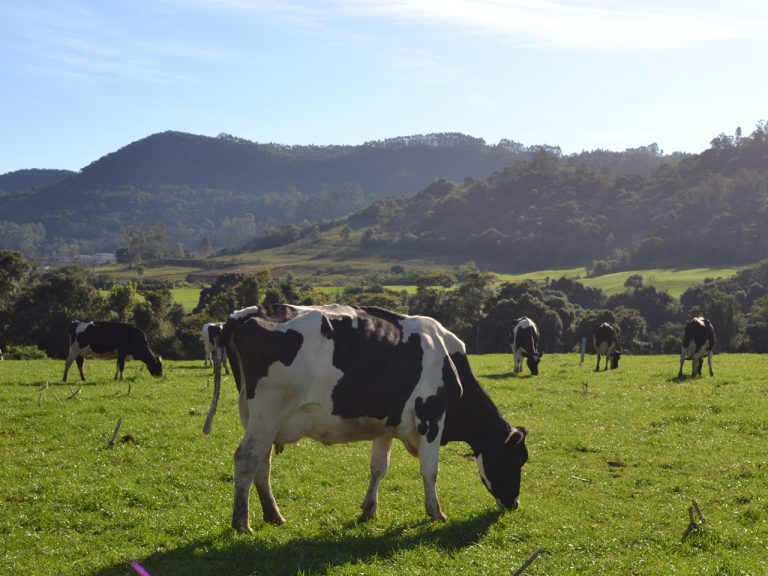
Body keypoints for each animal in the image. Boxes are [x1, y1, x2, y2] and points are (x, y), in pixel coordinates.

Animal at [204, 304, 528, 532]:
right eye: (517, 459)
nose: (515, 503)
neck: (451, 365)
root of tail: (247, 313)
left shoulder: (386, 426)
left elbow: (378, 468)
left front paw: (369, 509)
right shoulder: (431, 420)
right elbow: (430, 471)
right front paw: (436, 512)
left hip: (259, 418)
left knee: (262, 462)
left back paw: (273, 515)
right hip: (268, 411)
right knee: (246, 459)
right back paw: (241, 523)